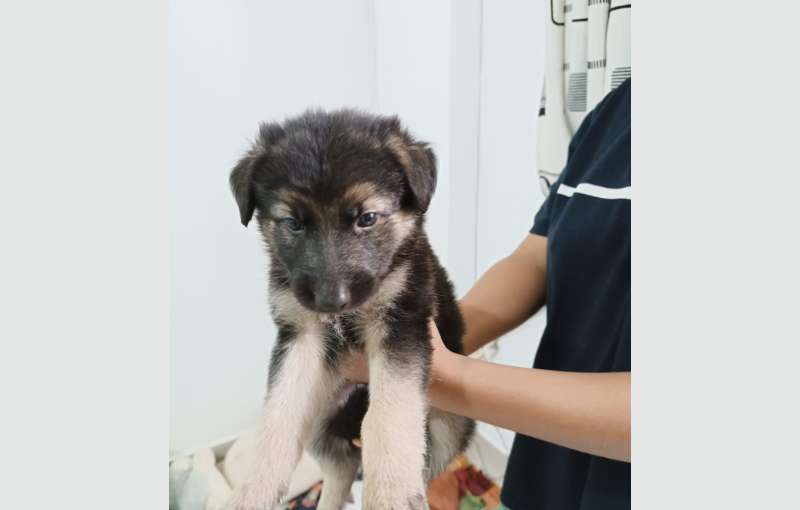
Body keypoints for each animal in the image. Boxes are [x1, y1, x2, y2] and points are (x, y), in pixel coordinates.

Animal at [227, 110, 476, 510]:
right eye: (293, 223)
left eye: (367, 218)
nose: (331, 302)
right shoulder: (299, 333)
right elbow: (279, 412)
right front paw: (254, 489)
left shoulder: (401, 322)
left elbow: (388, 414)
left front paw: (390, 491)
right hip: (320, 416)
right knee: (340, 469)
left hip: (450, 423)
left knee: (423, 464)